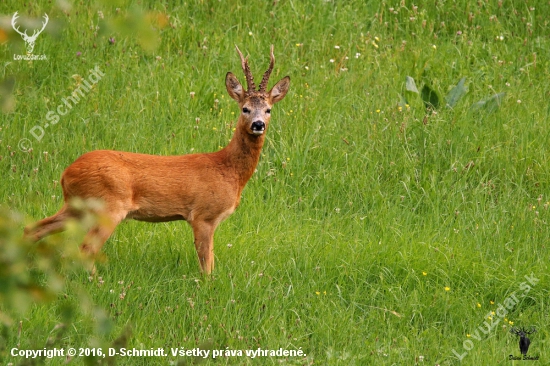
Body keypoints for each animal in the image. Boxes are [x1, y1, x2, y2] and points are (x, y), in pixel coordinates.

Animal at [24, 45, 294, 274]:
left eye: (268, 109)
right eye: (245, 109)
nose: (258, 124)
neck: (228, 170)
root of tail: (66, 173)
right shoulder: (203, 215)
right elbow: (207, 264)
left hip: (76, 205)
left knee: (34, 229)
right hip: (108, 205)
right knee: (86, 248)